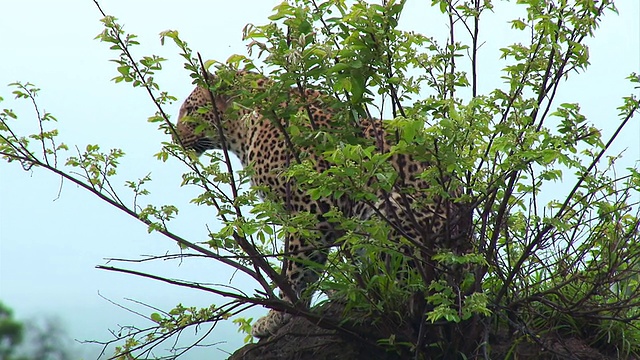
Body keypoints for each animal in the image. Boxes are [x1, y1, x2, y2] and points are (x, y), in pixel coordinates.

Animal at [174, 69, 470, 338]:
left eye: (190, 110)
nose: (176, 137)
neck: (244, 131)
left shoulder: (312, 210)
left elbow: (296, 267)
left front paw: (280, 314)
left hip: (390, 212)